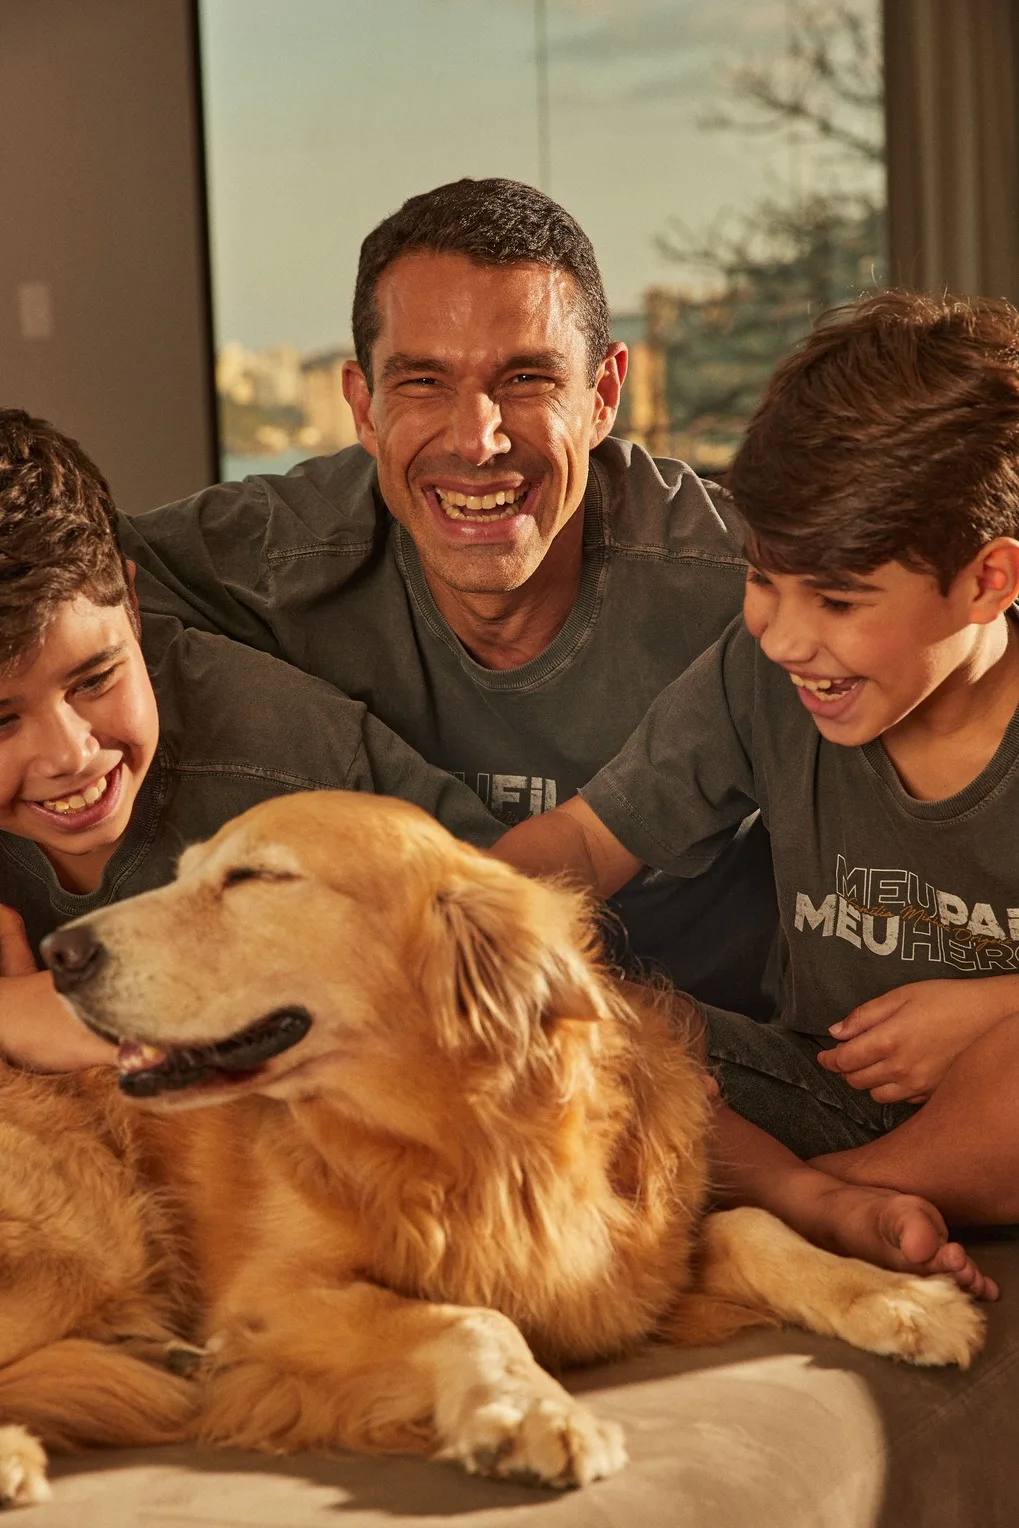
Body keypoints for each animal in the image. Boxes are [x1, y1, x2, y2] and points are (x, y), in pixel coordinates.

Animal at [0, 794, 989, 1509]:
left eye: (255, 877)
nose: (58, 951)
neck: (472, 1152)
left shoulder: (620, 1270)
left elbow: (751, 1225)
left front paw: (902, 1298)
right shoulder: (266, 1305)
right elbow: (471, 1317)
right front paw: (532, 1411)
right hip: (98, 1236)